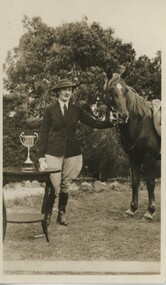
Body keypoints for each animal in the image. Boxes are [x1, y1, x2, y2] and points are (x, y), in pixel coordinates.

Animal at [104, 75, 161, 217]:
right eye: (110, 90)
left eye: (125, 91)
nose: (123, 115)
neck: (142, 124)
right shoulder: (134, 157)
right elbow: (135, 182)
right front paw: (132, 208)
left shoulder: (150, 158)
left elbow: (150, 183)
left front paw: (150, 211)